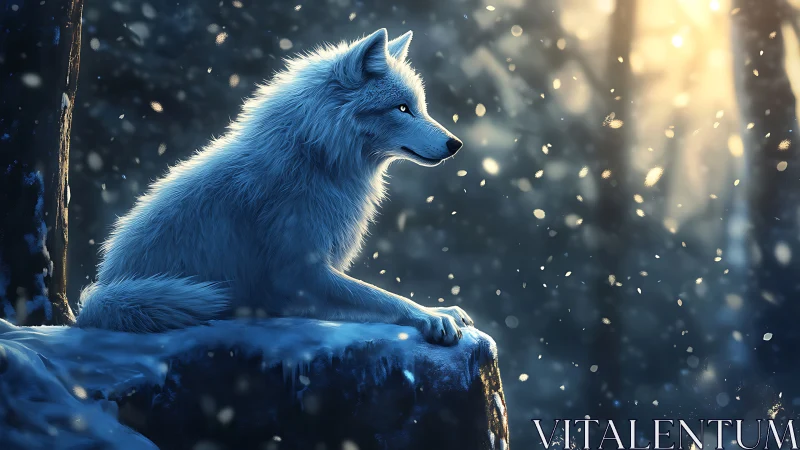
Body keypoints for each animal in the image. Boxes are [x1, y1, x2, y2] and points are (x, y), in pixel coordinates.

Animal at [76, 29, 473, 345]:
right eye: (402, 108)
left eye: (420, 106)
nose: (456, 144)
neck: (313, 155)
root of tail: (99, 294)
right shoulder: (299, 276)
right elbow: (382, 296)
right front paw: (431, 315)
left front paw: (442, 308)